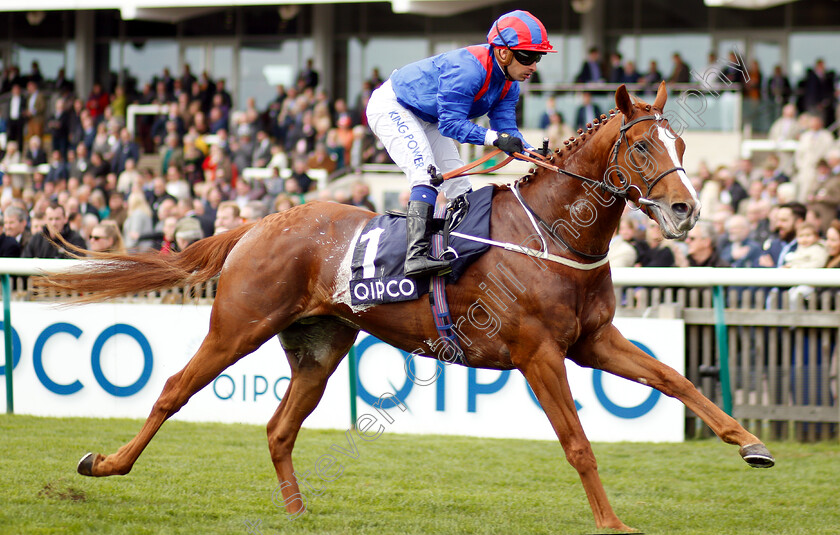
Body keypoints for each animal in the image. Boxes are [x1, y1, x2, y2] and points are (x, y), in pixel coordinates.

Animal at [41, 84, 776, 532]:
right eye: (644, 146)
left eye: (683, 147)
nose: (685, 211)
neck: (553, 233)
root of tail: (259, 222)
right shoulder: (539, 353)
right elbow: (578, 441)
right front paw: (611, 521)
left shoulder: (592, 340)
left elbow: (675, 379)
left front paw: (751, 444)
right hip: (239, 324)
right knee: (173, 389)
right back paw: (104, 464)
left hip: (320, 345)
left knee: (279, 428)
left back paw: (297, 511)